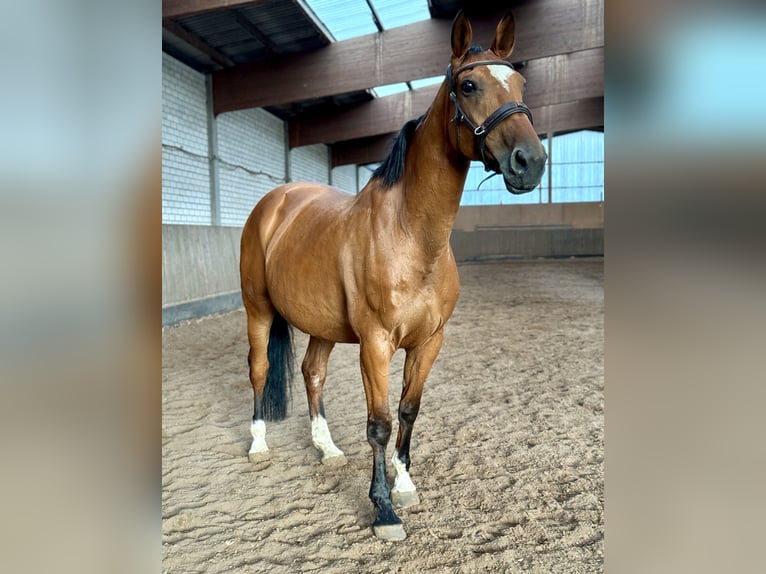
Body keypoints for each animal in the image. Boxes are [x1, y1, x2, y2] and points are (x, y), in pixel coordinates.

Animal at [240, 9, 544, 544]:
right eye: (468, 85)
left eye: (521, 83)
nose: (531, 162)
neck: (410, 236)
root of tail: (274, 202)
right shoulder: (376, 343)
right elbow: (379, 423)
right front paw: (383, 510)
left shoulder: (429, 342)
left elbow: (407, 410)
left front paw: (403, 484)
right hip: (258, 310)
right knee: (258, 371)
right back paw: (258, 445)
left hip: (322, 325)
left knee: (312, 373)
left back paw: (327, 449)